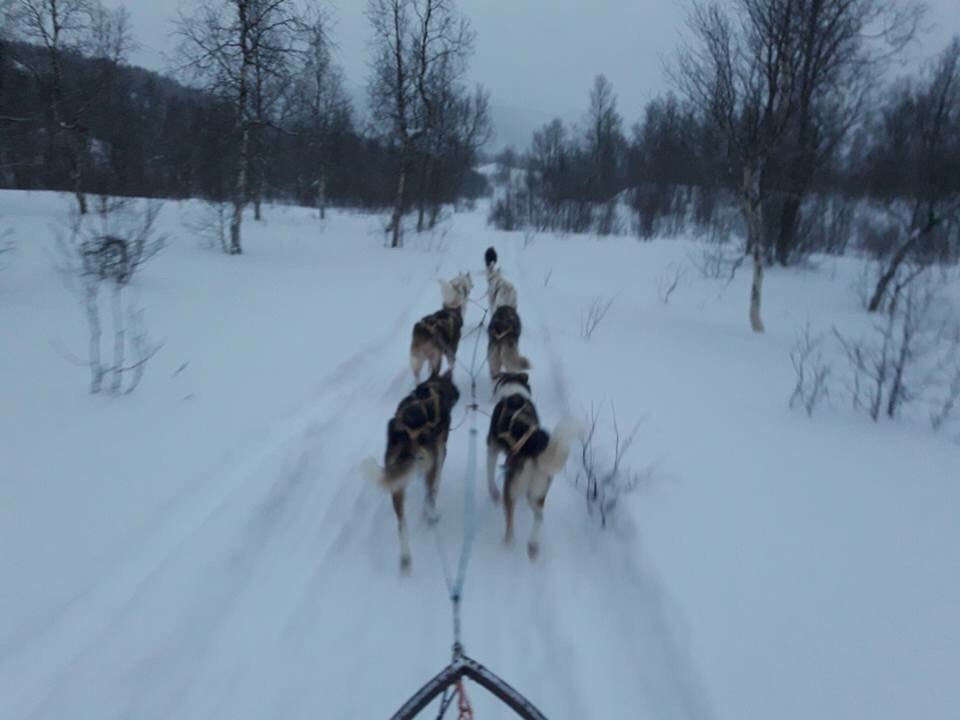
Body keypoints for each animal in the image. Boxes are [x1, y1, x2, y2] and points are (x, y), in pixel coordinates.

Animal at [364, 368, 462, 572]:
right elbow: (434, 488)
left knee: (402, 525)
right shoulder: (440, 454)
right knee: (428, 496)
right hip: (429, 465)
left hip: (396, 488)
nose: (458, 395)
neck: (434, 388)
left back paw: (406, 558)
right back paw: (432, 515)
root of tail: (409, 434)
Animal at [484, 374, 572, 560]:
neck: (514, 393)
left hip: (510, 489)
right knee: (539, 516)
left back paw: (508, 543)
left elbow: (489, 474)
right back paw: (532, 546)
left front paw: (493, 493)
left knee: (510, 520)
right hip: (538, 492)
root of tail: (535, 446)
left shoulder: (491, 447)